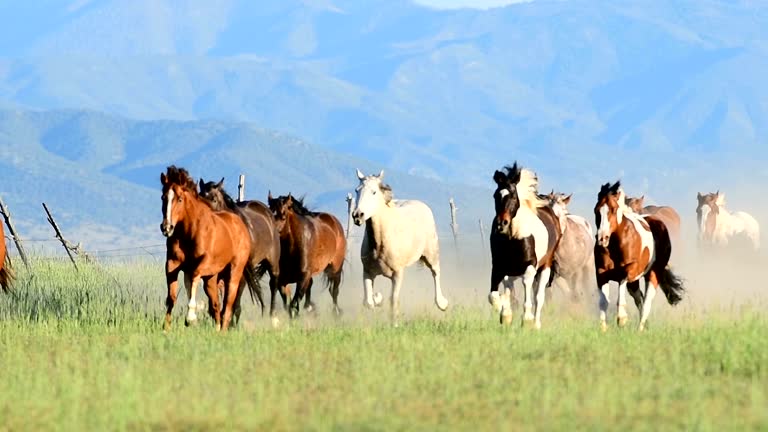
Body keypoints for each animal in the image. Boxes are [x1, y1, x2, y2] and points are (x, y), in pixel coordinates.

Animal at [160, 166, 259, 332]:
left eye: (179, 199)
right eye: (163, 197)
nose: (166, 227)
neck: (188, 232)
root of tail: (241, 225)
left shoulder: (204, 264)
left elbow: (194, 277)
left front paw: (191, 318)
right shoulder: (172, 264)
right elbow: (172, 297)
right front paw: (166, 328)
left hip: (233, 272)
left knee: (228, 304)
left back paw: (223, 330)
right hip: (212, 278)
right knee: (216, 304)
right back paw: (217, 328)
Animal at [199, 178, 281, 321]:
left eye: (214, 199)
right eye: (199, 196)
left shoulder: (241, 271)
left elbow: (234, 298)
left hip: (272, 263)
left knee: (273, 285)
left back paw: (271, 315)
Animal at [352, 169, 448, 321]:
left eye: (374, 192)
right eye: (357, 190)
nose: (357, 215)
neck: (380, 244)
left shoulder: (397, 274)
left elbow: (393, 300)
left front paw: (394, 323)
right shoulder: (367, 271)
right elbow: (368, 302)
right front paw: (377, 298)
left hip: (431, 253)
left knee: (435, 272)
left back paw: (442, 303)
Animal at [489, 163, 561, 329]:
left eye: (513, 196)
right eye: (496, 196)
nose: (501, 224)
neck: (513, 237)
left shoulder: (530, 266)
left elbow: (527, 286)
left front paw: (527, 318)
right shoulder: (498, 266)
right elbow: (494, 296)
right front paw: (505, 313)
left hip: (545, 266)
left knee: (539, 297)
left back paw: (536, 324)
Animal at [594, 181, 685, 331]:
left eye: (613, 209)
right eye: (596, 210)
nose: (602, 238)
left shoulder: (630, 270)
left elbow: (621, 292)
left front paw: (622, 319)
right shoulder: (601, 274)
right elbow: (603, 302)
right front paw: (602, 329)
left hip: (653, 273)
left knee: (647, 301)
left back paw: (640, 329)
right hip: (634, 283)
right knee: (639, 299)